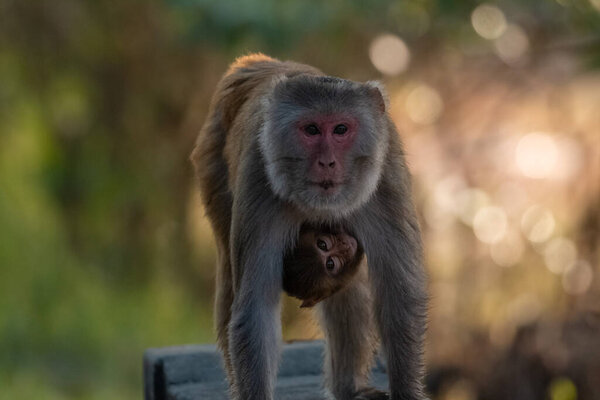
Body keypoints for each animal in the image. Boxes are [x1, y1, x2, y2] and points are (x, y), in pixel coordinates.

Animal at [192, 54, 426, 400]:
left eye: (340, 129)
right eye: (312, 130)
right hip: (211, 158)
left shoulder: (386, 177)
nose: (327, 162)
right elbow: (255, 311)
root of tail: (257, 63)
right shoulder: (258, 176)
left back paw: (348, 388)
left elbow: (398, 295)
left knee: (351, 292)